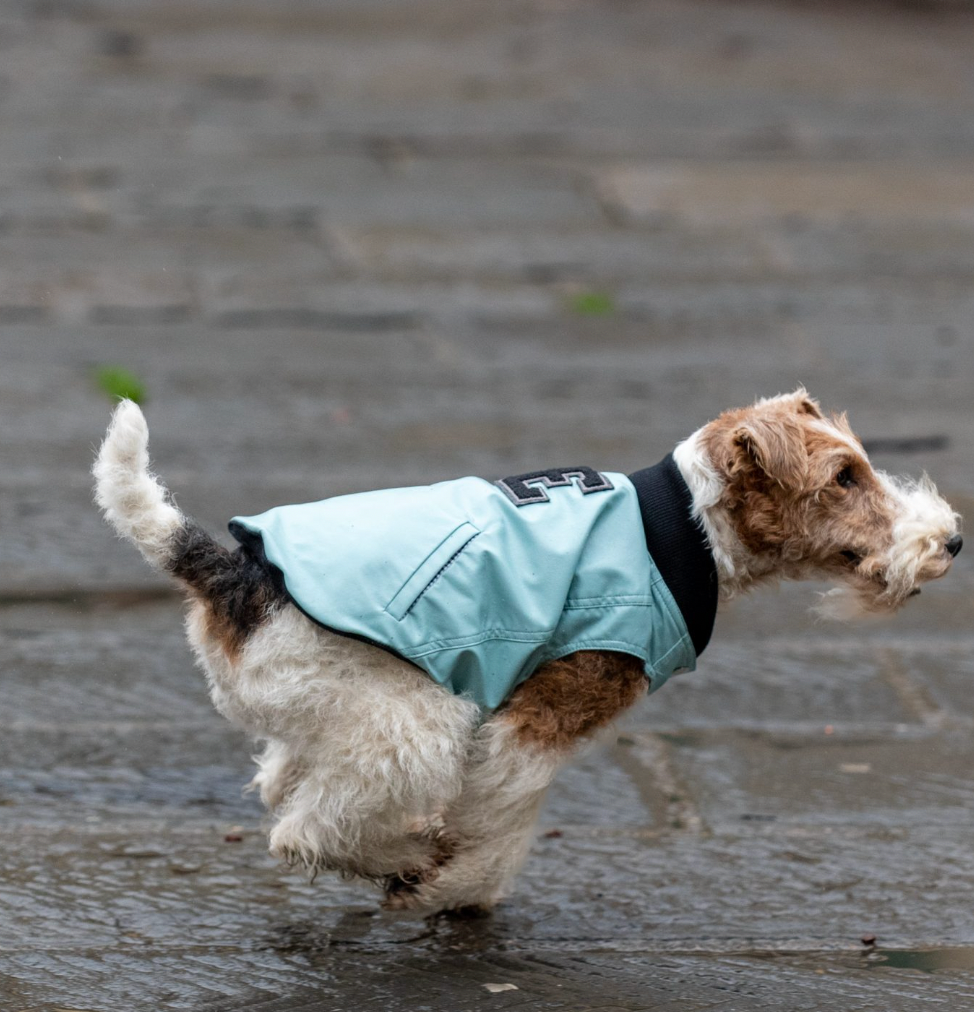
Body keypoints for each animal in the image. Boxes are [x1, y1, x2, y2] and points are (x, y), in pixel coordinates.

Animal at [95, 390, 959, 914]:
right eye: (843, 476)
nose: (950, 540)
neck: (687, 526)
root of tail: (230, 570)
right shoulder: (539, 719)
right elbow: (502, 825)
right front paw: (457, 889)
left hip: (339, 715)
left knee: (286, 786)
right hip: (417, 719)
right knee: (305, 832)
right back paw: (409, 861)